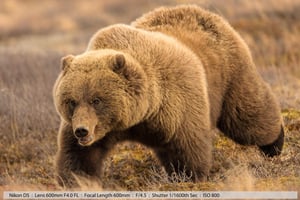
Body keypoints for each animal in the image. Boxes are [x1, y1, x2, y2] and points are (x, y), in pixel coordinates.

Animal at [52, 4, 284, 187]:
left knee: (247, 118)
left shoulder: (176, 105)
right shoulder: (100, 129)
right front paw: (76, 180)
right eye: (71, 101)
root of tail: (205, 12)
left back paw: (275, 144)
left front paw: (188, 177)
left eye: (96, 100)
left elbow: (187, 148)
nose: (82, 130)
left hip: (229, 74)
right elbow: (79, 156)